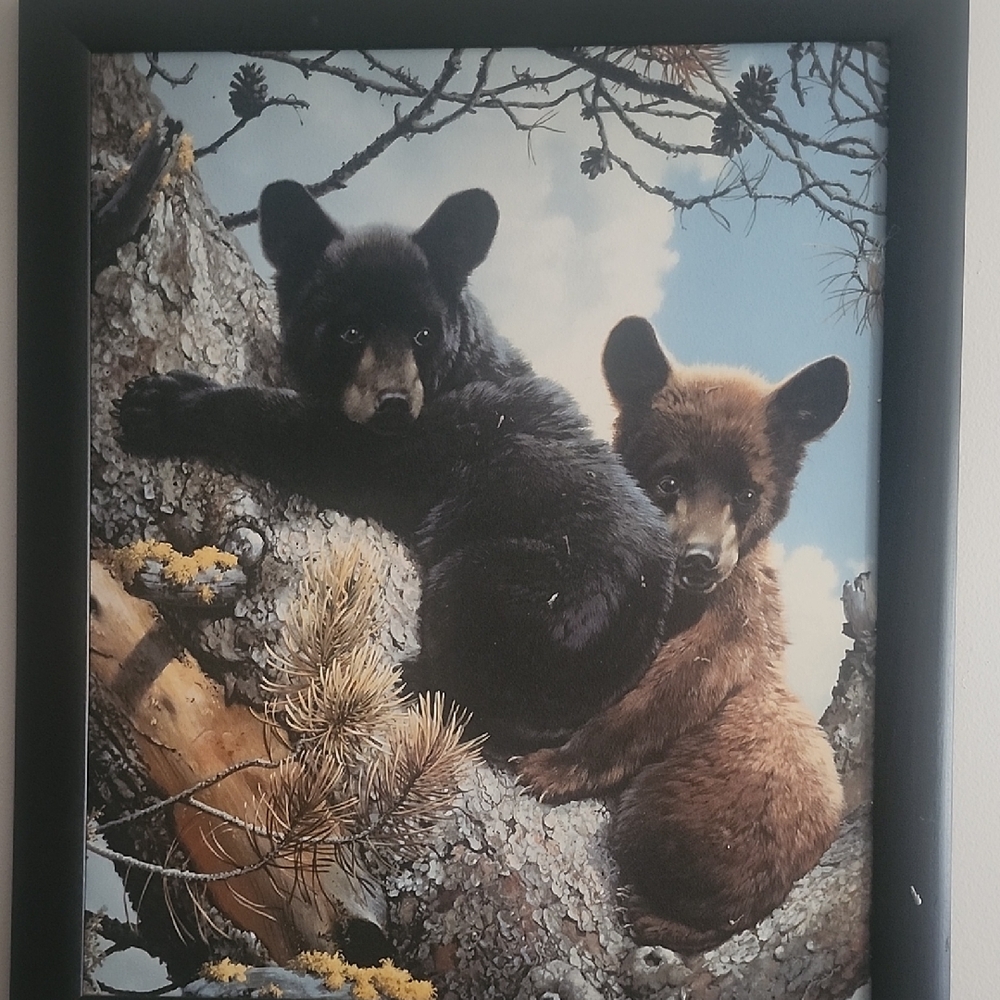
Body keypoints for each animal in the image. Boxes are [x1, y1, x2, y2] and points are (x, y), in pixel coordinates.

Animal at [116, 183, 677, 757]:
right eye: (349, 330)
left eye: (423, 333)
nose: (393, 404)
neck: (460, 374)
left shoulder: (435, 438)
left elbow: (305, 435)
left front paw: (163, 405)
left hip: (515, 584)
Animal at [516, 315, 848, 952]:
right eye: (669, 479)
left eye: (748, 492)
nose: (699, 559)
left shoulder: (737, 619)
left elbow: (671, 689)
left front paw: (552, 767)